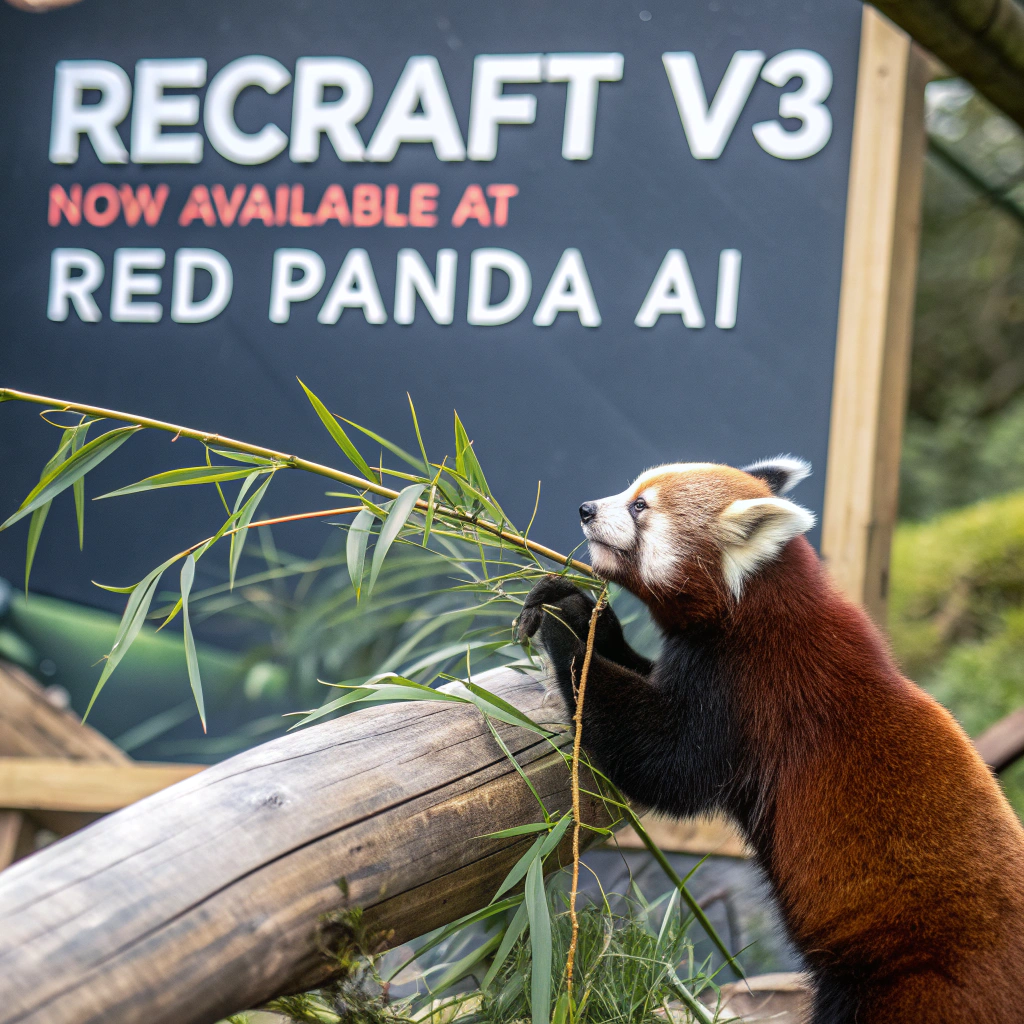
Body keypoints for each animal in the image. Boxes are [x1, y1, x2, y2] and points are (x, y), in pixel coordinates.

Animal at [516, 457, 1024, 1024]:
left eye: (639, 506)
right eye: (630, 492)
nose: (586, 508)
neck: (752, 606)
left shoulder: (755, 693)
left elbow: (671, 768)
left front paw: (565, 630)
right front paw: (583, 611)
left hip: (910, 986)